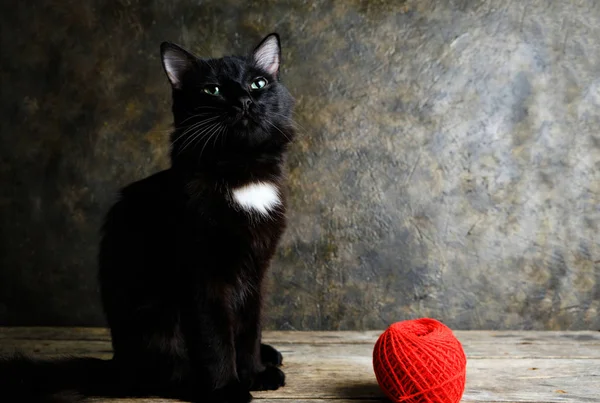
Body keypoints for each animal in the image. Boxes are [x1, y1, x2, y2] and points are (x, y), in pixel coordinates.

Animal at [0, 33, 296, 402]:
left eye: (258, 84)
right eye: (212, 90)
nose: (244, 100)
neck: (242, 174)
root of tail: (118, 364)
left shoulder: (256, 271)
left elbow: (248, 331)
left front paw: (255, 373)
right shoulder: (202, 276)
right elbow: (216, 340)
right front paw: (228, 389)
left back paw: (268, 355)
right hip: (156, 323)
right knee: (165, 375)